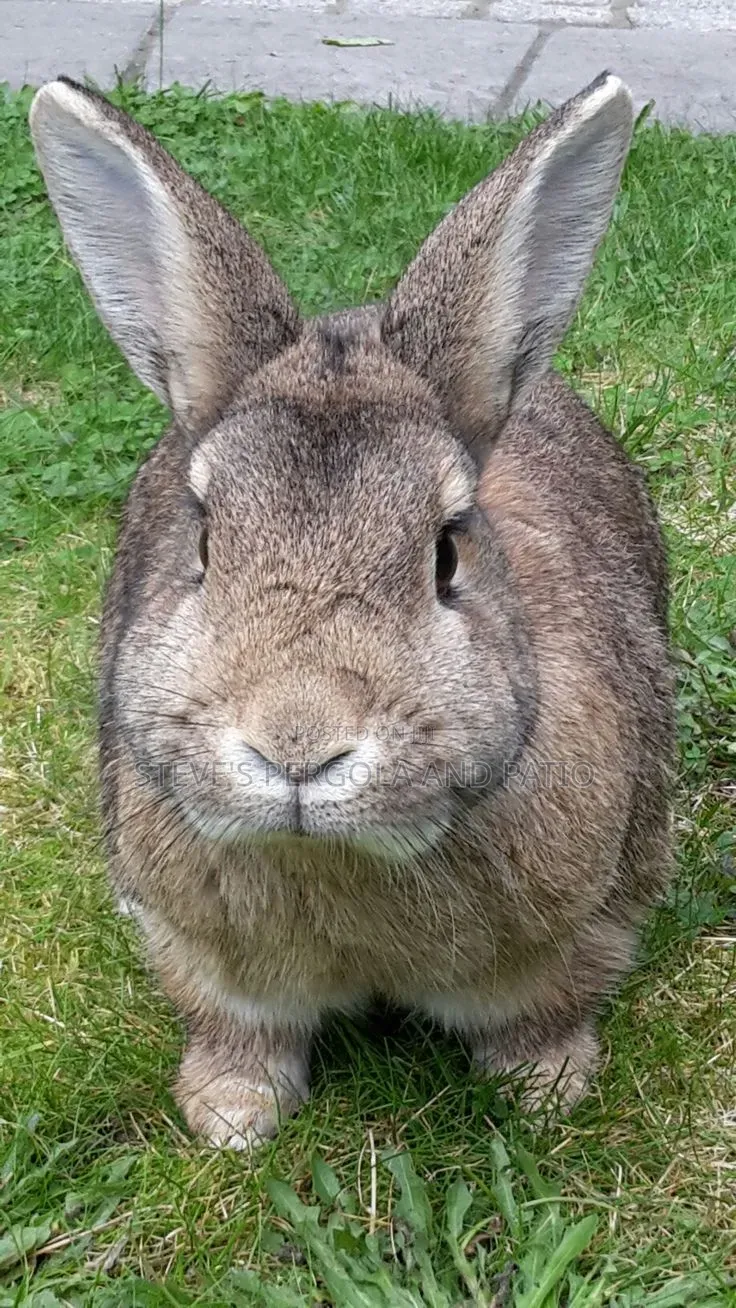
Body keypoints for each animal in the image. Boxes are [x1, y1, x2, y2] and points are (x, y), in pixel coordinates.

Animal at [30, 72, 675, 1149]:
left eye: (447, 551)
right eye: (203, 543)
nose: (297, 747)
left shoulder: (582, 926)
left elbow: (546, 1009)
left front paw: (544, 1089)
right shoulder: (201, 958)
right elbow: (236, 1030)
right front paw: (231, 1117)